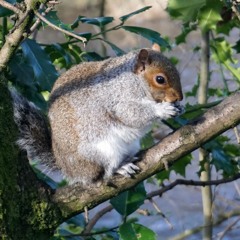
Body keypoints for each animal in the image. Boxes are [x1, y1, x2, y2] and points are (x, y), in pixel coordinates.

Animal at [10, 45, 184, 186]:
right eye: (160, 79)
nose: (179, 98)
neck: (134, 80)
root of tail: (70, 169)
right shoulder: (117, 98)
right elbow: (130, 114)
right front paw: (162, 110)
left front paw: (179, 108)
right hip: (102, 150)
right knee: (104, 173)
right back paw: (120, 167)